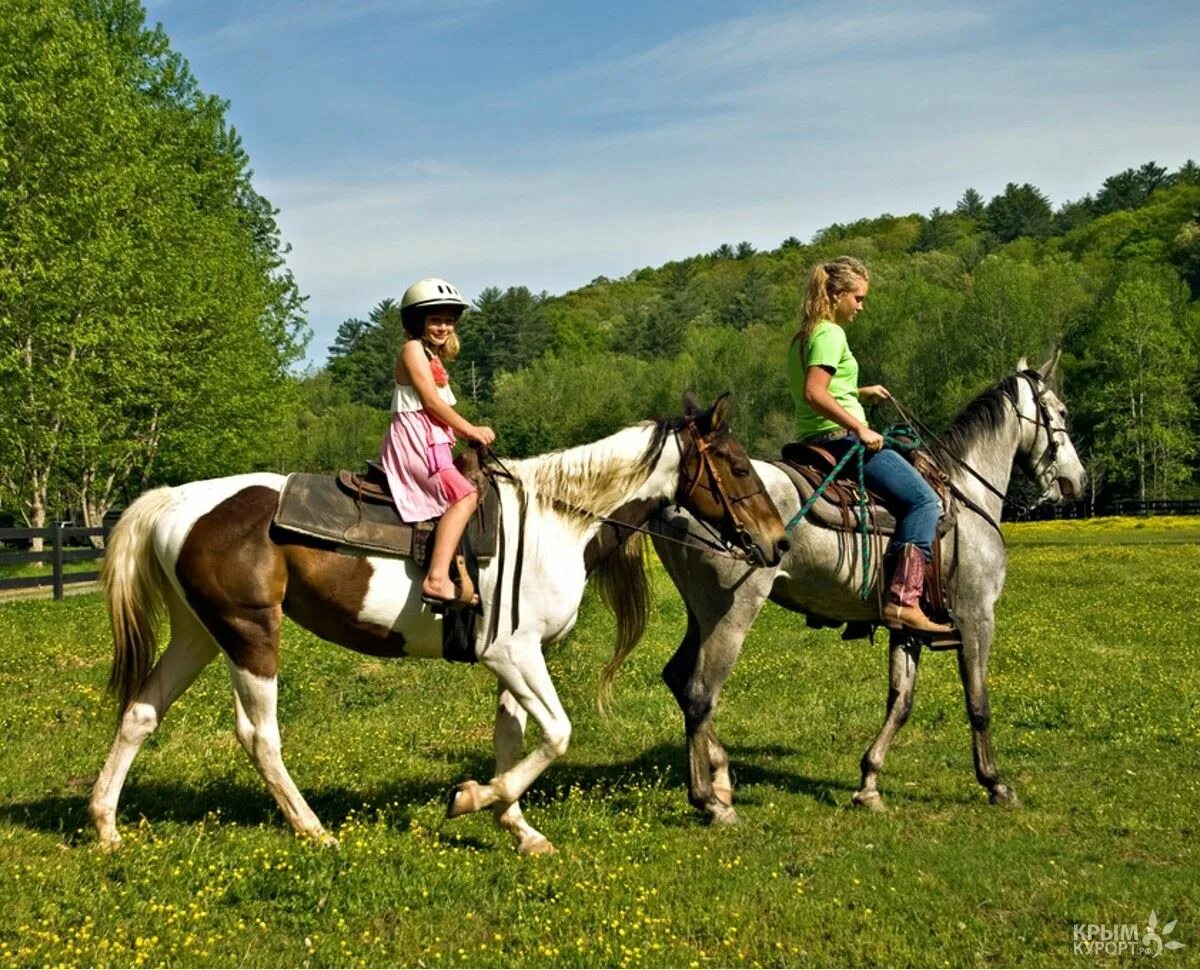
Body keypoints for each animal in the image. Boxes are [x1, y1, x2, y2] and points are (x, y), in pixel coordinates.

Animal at [91, 391, 787, 849]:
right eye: (737, 466)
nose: (777, 543)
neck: (558, 519)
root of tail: (177, 502)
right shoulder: (514, 653)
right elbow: (556, 734)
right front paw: (474, 798)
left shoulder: (513, 659)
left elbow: (513, 739)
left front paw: (516, 826)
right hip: (250, 633)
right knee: (258, 735)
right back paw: (313, 830)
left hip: (199, 634)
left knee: (141, 713)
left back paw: (105, 825)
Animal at [648, 355, 1089, 816]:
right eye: (1061, 412)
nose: (1077, 482)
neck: (966, 497)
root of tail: (674, 501)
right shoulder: (976, 617)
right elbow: (978, 703)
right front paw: (995, 783)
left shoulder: (908, 626)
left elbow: (900, 702)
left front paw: (869, 783)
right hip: (731, 612)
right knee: (700, 693)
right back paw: (711, 799)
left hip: (700, 613)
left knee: (679, 679)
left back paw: (720, 776)